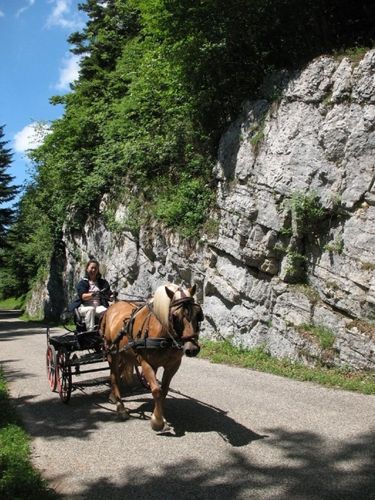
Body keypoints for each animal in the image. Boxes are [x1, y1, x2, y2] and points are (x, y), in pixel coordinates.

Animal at [100, 284, 204, 432]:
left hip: (125, 354)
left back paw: (113, 397)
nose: (192, 349)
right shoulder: (146, 363)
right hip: (112, 352)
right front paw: (158, 422)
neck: (163, 335)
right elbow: (156, 390)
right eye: (175, 316)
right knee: (114, 377)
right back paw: (121, 409)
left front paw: (160, 417)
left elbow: (163, 391)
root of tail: (112, 307)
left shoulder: (173, 365)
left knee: (117, 373)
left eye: (198, 314)